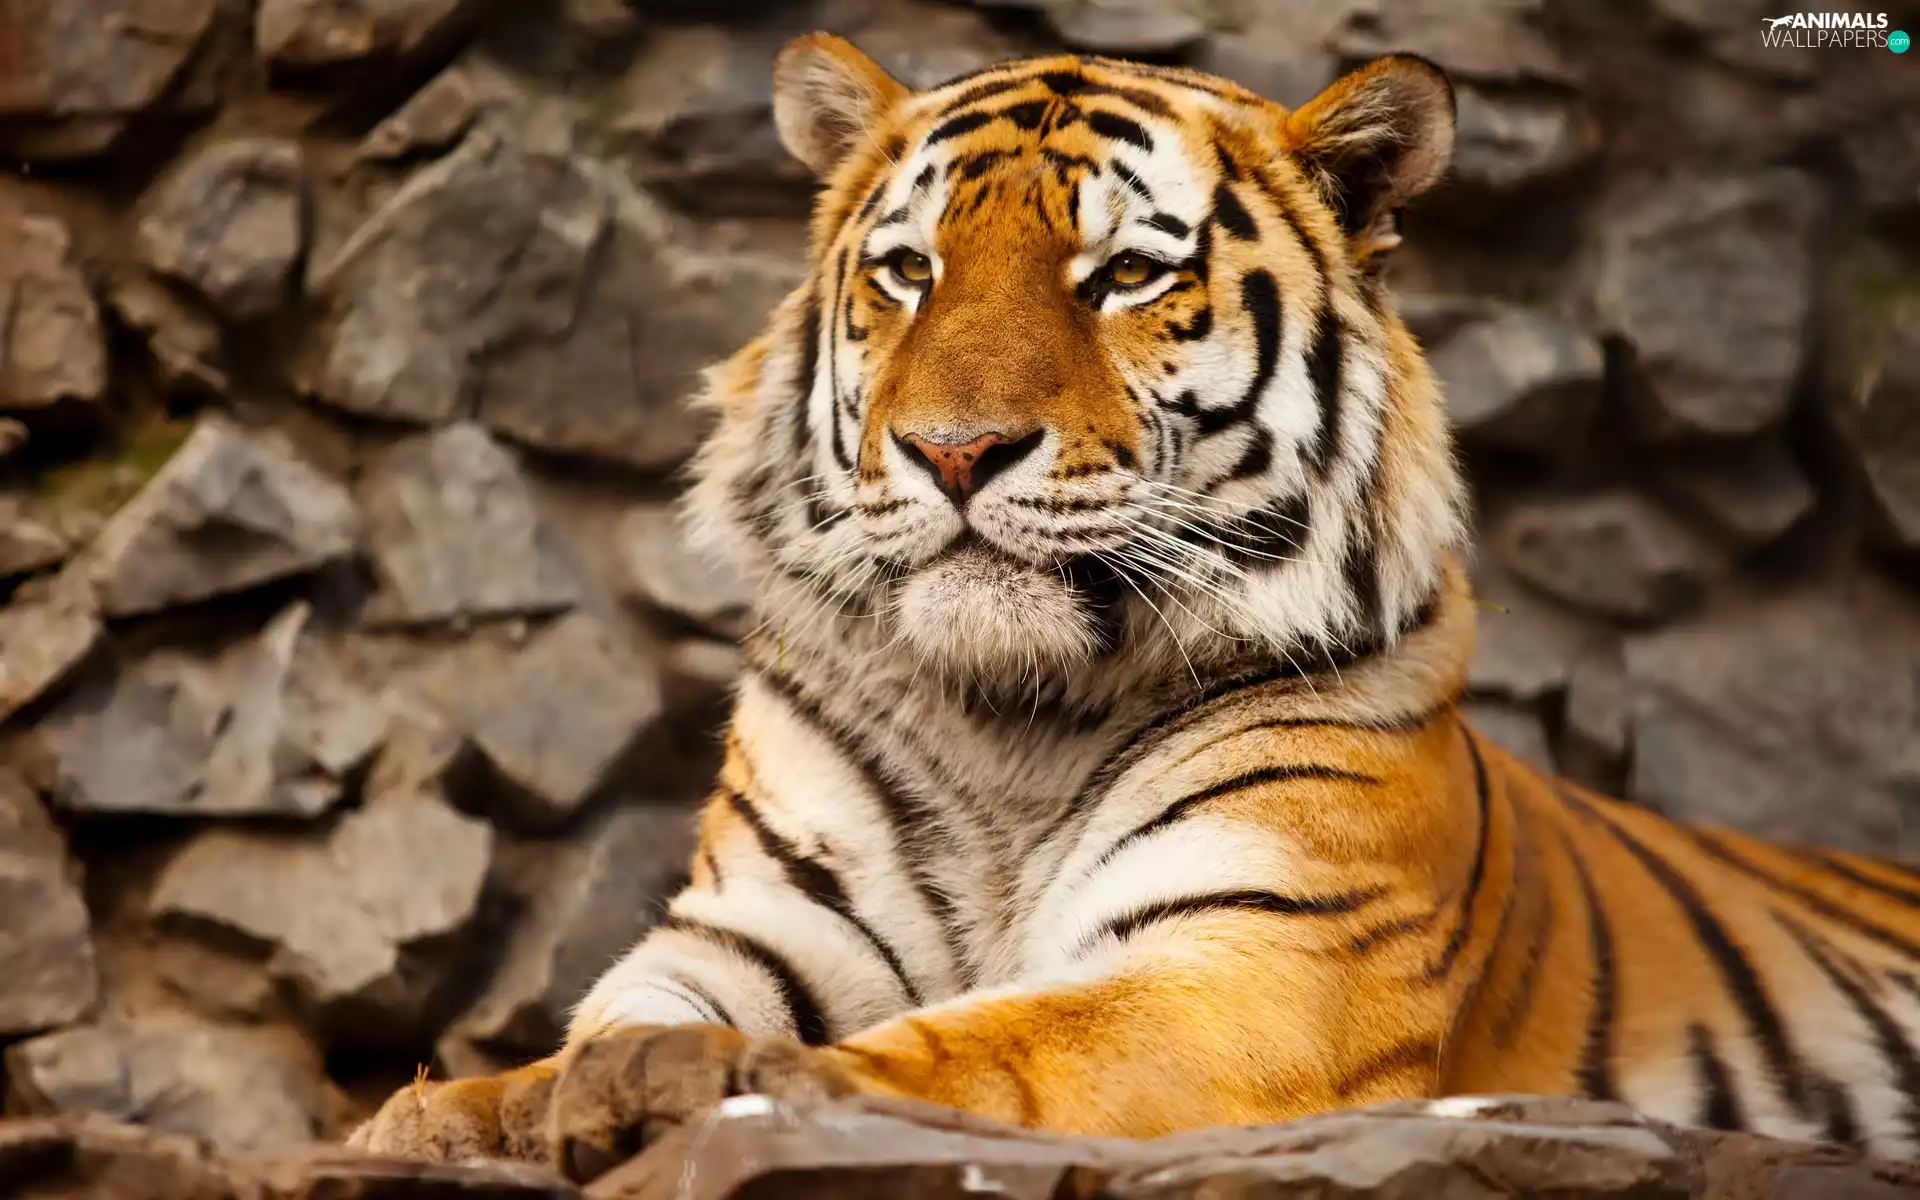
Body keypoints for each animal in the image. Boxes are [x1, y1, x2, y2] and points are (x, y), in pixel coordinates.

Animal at [349, 34, 1920, 1179]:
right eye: (908, 271)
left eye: (1124, 277)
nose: (955, 451)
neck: (1009, 721)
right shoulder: (752, 929)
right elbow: (602, 1022)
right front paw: (453, 1111)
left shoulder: (1261, 964)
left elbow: (979, 1046)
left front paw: (708, 1084)